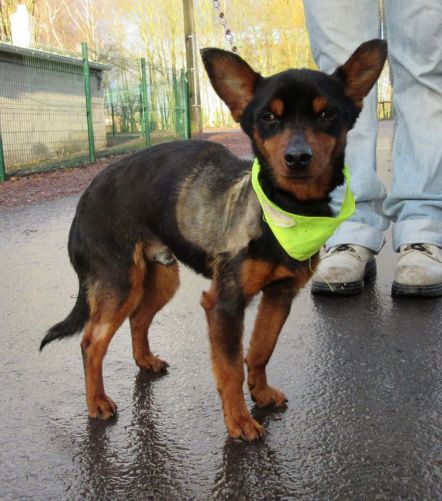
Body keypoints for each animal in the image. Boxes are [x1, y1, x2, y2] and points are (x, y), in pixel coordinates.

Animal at [41, 40, 386, 438]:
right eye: (268, 118)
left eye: (327, 113)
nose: (298, 158)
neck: (285, 209)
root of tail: (87, 195)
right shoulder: (224, 303)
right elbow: (231, 366)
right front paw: (239, 420)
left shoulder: (280, 295)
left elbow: (261, 350)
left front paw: (261, 393)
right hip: (120, 285)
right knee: (91, 342)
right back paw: (97, 402)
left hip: (160, 280)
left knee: (138, 319)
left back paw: (145, 360)